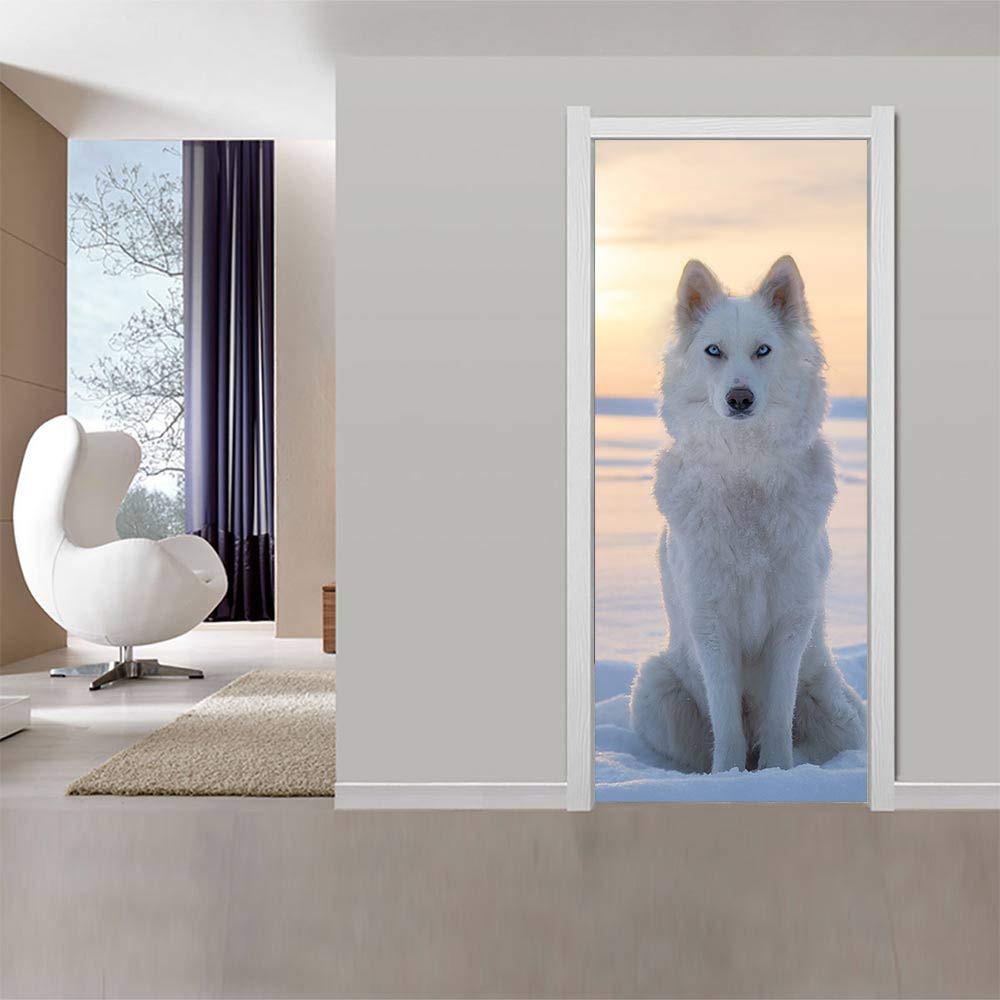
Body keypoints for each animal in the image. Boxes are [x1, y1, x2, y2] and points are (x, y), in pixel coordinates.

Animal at [629, 256, 866, 773]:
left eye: (763, 351)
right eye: (713, 351)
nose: (740, 398)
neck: (746, 473)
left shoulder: (790, 623)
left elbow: (778, 718)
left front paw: (776, 775)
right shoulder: (711, 624)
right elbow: (727, 726)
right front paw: (729, 778)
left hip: (838, 712)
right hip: (654, 687)